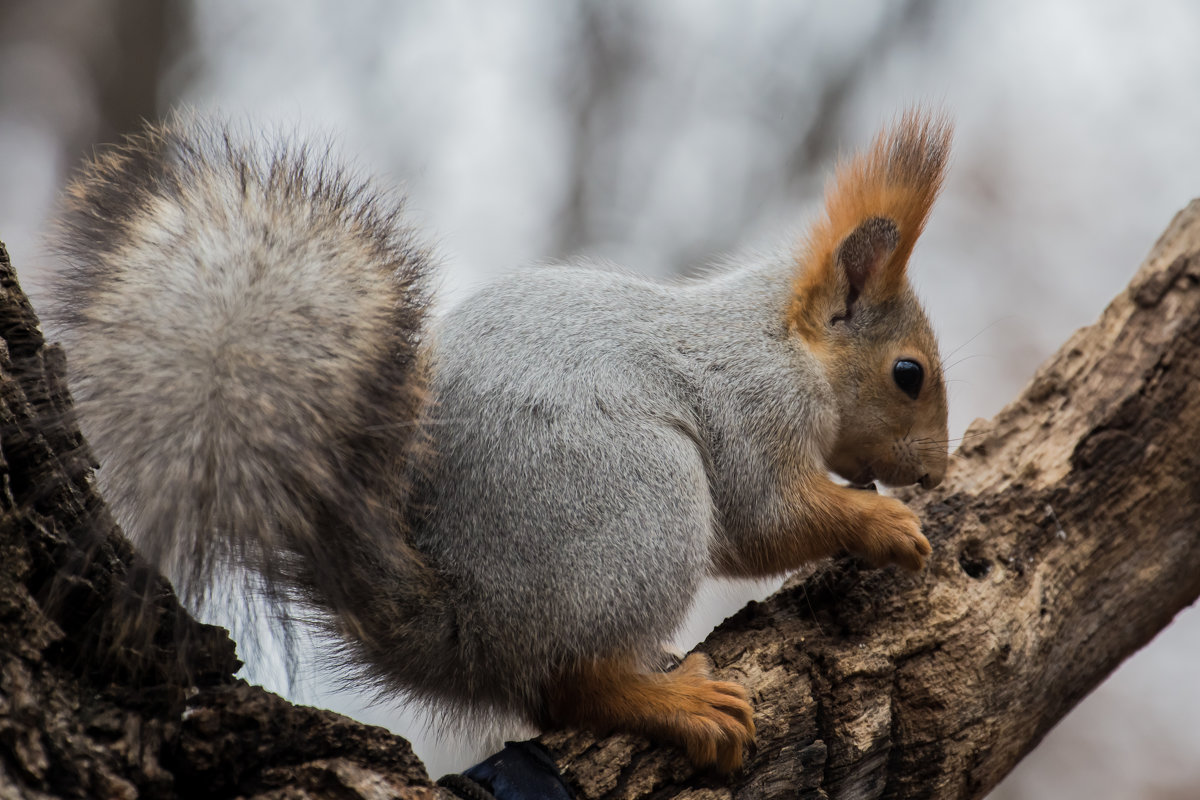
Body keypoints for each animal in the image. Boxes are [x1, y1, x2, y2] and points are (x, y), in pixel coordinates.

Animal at [44, 107, 945, 777]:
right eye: (908, 374)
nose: (935, 474)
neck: (784, 342)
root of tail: (470, 626)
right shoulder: (754, 409)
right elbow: (768, 521)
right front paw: (887, 526)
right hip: (639, 502)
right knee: (568, 686)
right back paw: (673, 702)